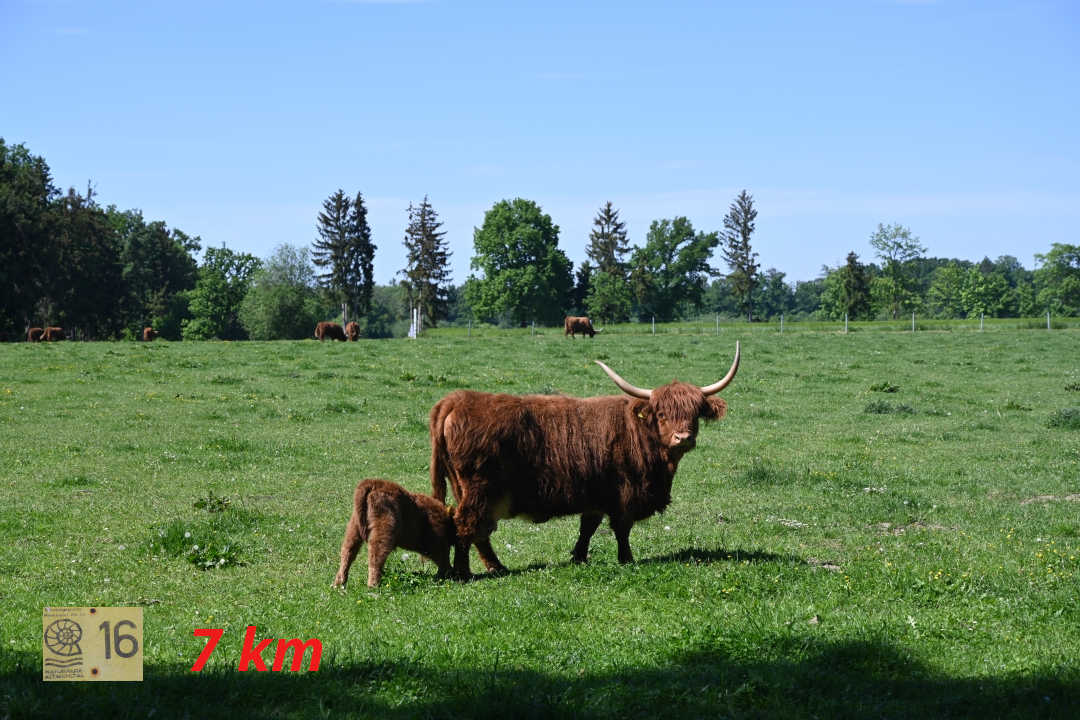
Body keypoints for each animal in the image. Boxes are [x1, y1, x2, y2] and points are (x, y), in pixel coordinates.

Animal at [429, 343, 743, 578]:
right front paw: (627, 559)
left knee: (476, 530)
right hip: (479, 489)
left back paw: (495, 567)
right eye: (662, 414)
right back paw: (465, 572)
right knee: (467, 524)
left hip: (465, 488)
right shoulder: (623, 493)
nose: (683, 437)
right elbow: (621, 528)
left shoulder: (597, 493)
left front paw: (578, 557)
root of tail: (456, 400)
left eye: (694, 413)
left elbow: (588, 527)